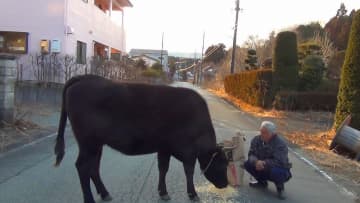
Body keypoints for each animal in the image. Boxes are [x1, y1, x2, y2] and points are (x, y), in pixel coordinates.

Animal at [54, 75, 228, 203]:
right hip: (88, 143)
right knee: (83, 167)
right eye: (222, 164)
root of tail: (84, 78)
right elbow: (188, 172)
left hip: (97, 145)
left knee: (93, 167)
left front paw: (163, 192)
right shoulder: (188, 152)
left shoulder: (164, 148)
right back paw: (90, 199)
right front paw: (193, 194)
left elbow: (163, 168)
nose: (225, 184)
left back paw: (105, 193)